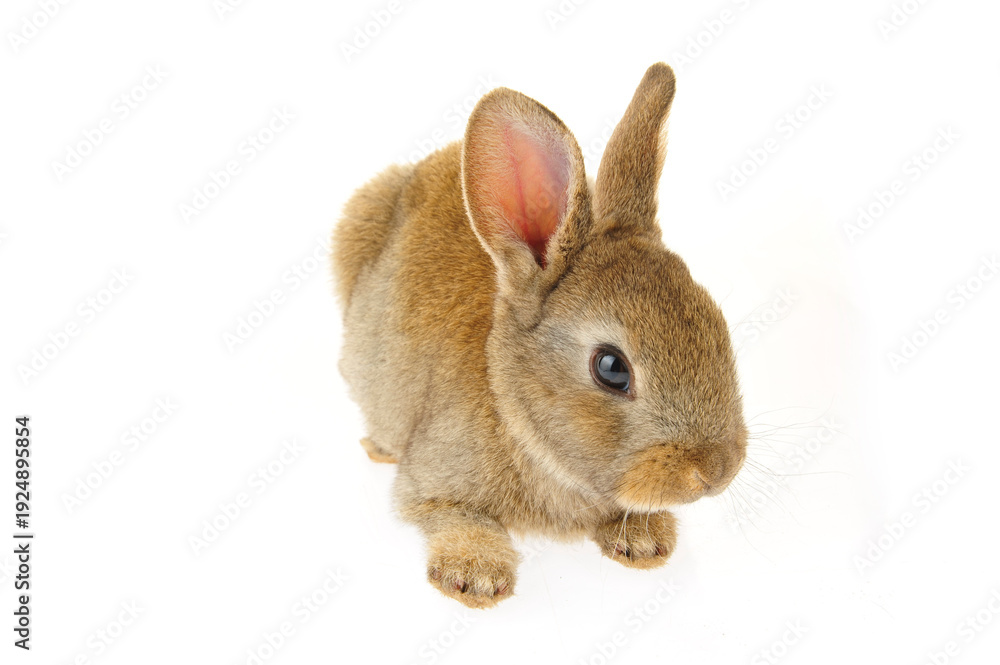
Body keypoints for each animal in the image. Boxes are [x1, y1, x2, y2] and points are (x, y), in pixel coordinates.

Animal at [332, 62, 747, 609]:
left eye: (716, 321)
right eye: (611, 368)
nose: (718, 469)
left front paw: (644, 541)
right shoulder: (431, 478)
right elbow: (450, 514)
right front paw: (475, 577)